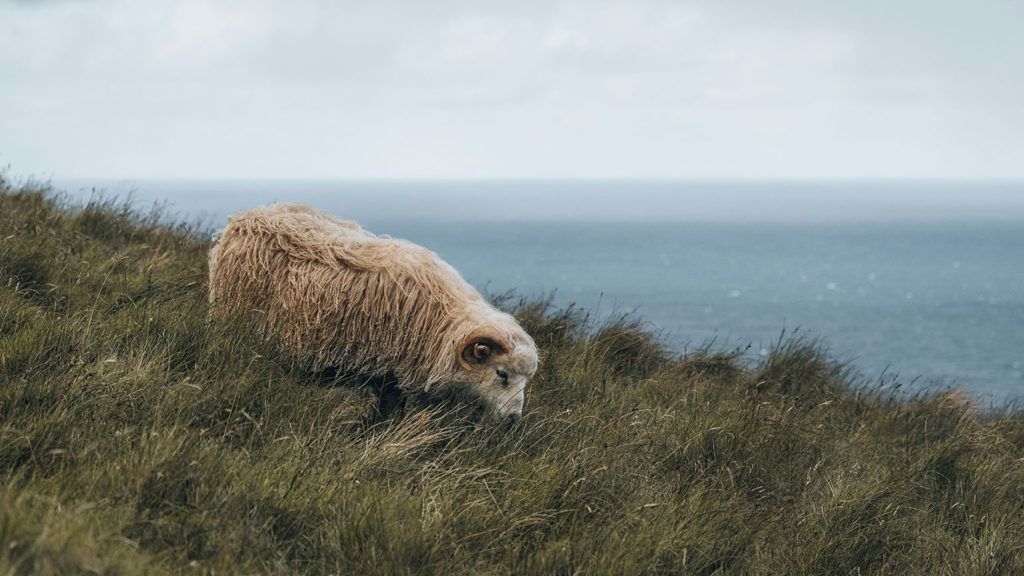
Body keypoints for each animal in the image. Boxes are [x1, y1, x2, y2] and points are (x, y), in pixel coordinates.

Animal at [209, 201, 544, 416]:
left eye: (525, 380)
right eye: (501, 373)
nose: (513, 420)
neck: (444, 322)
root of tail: (241, 220)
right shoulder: (391, 375)